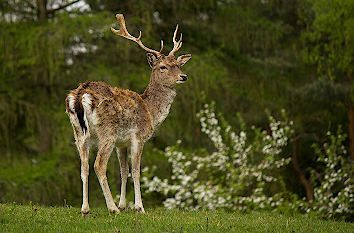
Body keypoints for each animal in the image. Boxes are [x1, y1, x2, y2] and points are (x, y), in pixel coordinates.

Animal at [63, 13, 191, 214]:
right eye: (162, 66)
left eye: (178, 64)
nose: (183, 76)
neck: (150, 111)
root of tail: (79, 95)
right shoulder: (138, 136)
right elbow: (136, 171)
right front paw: (138, 207)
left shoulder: (121, 143)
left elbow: (124, 171)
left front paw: (124, 205)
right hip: (107, 131)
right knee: (99, 165)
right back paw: (111, 208)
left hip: (79, 133)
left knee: (84, 166)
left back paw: (85, 209)